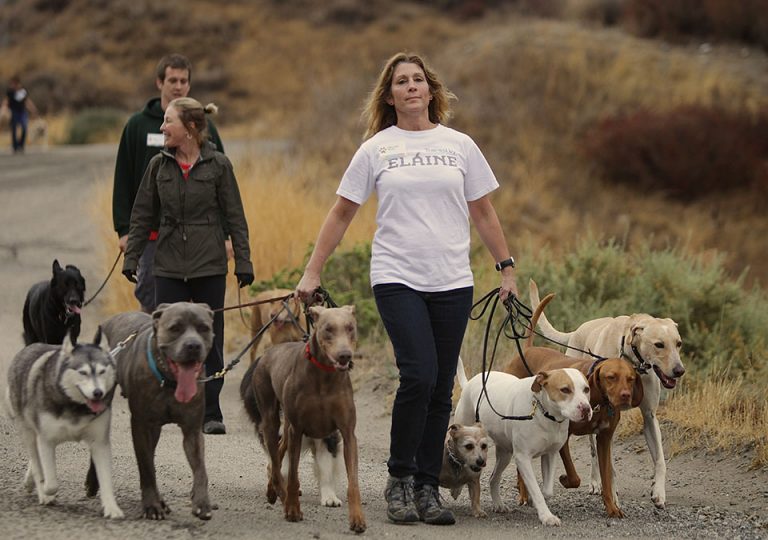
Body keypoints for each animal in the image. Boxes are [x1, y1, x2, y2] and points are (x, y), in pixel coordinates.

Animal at [240, 306, 366, 532]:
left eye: (350, 327)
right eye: (328, 329)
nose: (345, 355)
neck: (324, 378)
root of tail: (269, 353)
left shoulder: (344, 433)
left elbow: (348, 479)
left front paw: (355, 517)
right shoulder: (297, 431)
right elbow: (292, 475)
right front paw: (292, 509)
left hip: (286, 429)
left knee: (278, 456)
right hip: (272, 422)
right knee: (275, 460)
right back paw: (279, 494)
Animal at [452, 356, 592, 524]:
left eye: (586, 389)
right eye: (565, 389)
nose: (586, 409)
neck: (545, 414)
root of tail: (469, 383)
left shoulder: (550, 454)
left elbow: (546, 491)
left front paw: (533, 501)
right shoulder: (523, 458)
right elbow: (537, 490)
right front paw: (546, 516)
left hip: (505, 454)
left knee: (493, 479)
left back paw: (498, 504)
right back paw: (457, 489)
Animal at [508, 294, 644, 516]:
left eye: (631, 378)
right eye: (611, 377)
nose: (625, 396)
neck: (598, 402)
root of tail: (527, 350)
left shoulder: (604, 439)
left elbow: (606, 478)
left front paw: (612, 507)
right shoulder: (564, 436)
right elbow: (574, 477)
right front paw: (564, 479)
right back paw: (524, 494)